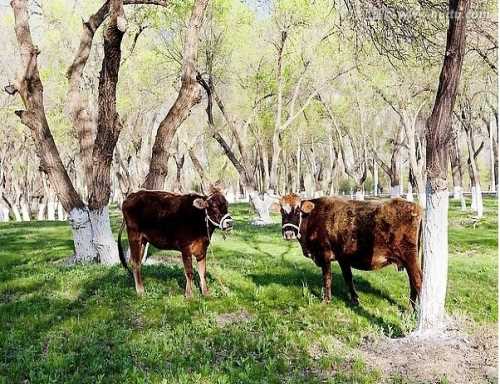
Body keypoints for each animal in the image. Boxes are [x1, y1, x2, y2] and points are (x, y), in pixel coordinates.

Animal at [278, 194, 422, 308]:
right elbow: (348, 278)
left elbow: (327, 278)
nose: (288, 233)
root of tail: (414, 206)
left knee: (417, 281)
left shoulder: (324, 254)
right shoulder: (343, 257)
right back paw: (411, 307)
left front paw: (326, 300)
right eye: (281, 211)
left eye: (297, 211)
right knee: (412, 282)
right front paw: (355, 300)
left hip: (409, 256)